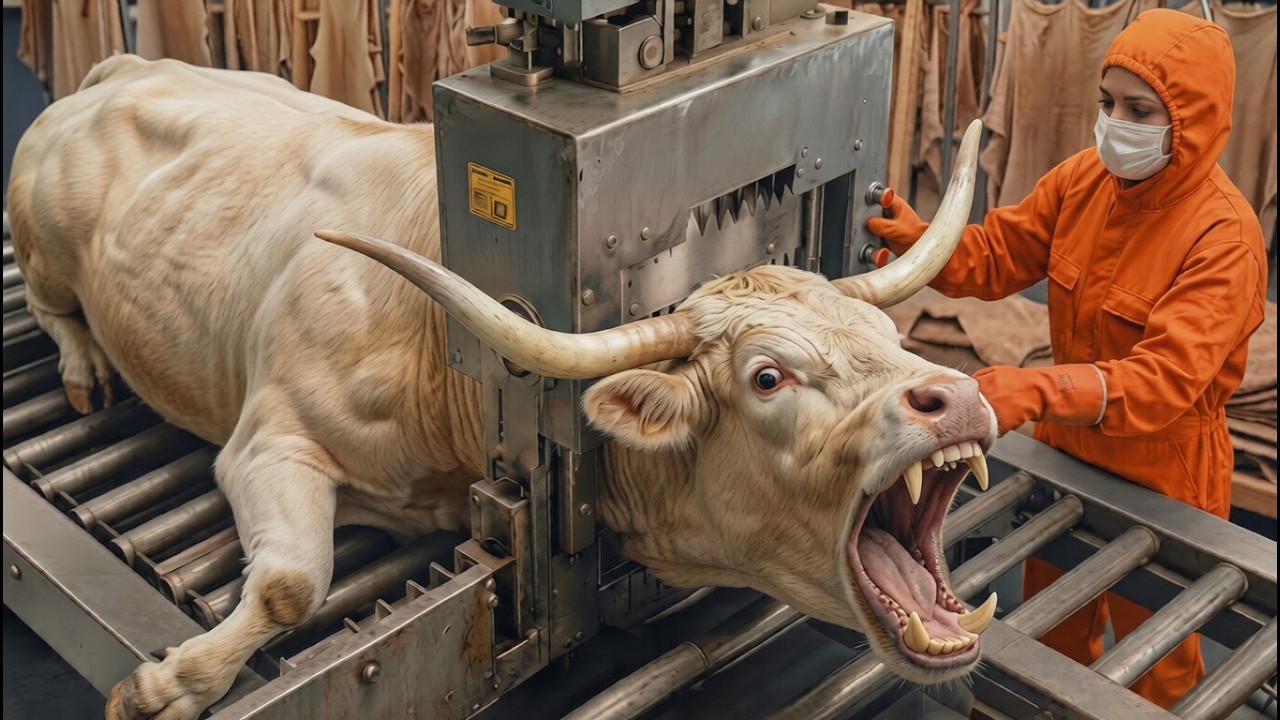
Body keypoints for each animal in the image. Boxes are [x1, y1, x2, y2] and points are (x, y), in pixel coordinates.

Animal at [7, 54, 997, 720]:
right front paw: (164, 684)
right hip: (41, 242)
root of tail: (126, 63)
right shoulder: (269, 439)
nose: (956, 398)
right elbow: (292, 584)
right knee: (53, 308)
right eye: (767, 376)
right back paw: (84, 372)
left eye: (887, 336)